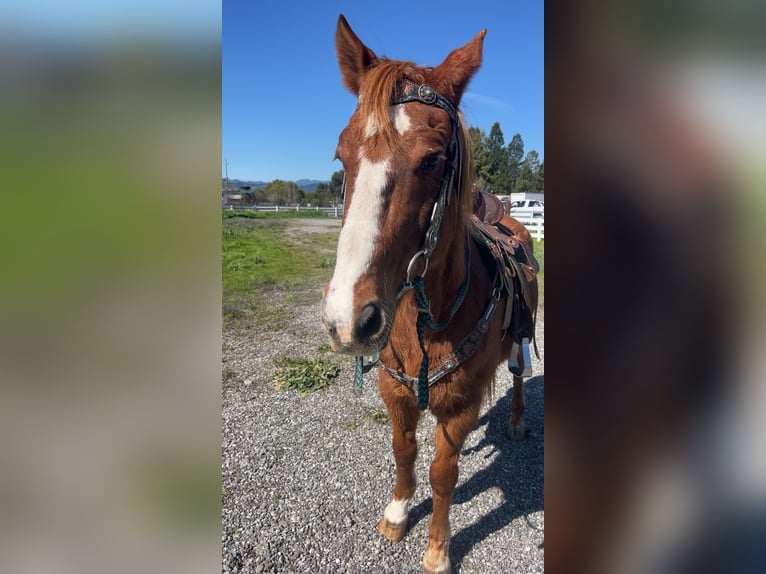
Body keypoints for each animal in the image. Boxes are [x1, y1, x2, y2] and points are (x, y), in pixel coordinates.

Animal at [320, 15, 539, 574]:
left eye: (434, 159)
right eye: (341, 155)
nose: (347, 319)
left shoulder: (458, 407)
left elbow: (444, 473)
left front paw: (438, 548)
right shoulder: (395, 392)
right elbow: (404, 452)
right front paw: (398, 513)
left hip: (519, 342)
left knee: (518, 373)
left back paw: (516, 421)